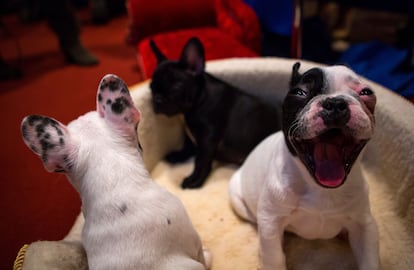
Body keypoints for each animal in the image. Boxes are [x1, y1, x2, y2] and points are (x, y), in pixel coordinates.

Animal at [149, 37, 282, 189]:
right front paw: (178, 156)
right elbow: (187, 146)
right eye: (151, 87)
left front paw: (195, 180)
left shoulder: (207, 140)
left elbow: (201, 162)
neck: (199, 100)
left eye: (176, 88)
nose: (157, 99)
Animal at [231, 62, 380, 270]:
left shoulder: (364, 224)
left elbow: (369, 259)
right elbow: (273, 256)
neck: (320, 188)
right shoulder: (270, 220)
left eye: (366, 92)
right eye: (299, 92)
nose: (335, 103)